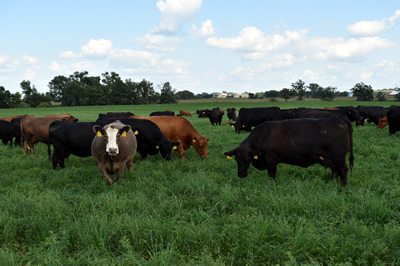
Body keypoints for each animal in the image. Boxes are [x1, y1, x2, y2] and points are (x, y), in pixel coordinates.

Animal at [223, 117, 354, 186]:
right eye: (236, 160)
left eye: (248, 160)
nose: (241, 175)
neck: (262, 136)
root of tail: (339, 119)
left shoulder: (271, 160)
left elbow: (271, 175)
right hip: (332, 159)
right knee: (335, 171)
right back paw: (333, 183)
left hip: (339, 157)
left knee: (343, 170)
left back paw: (343, 186)